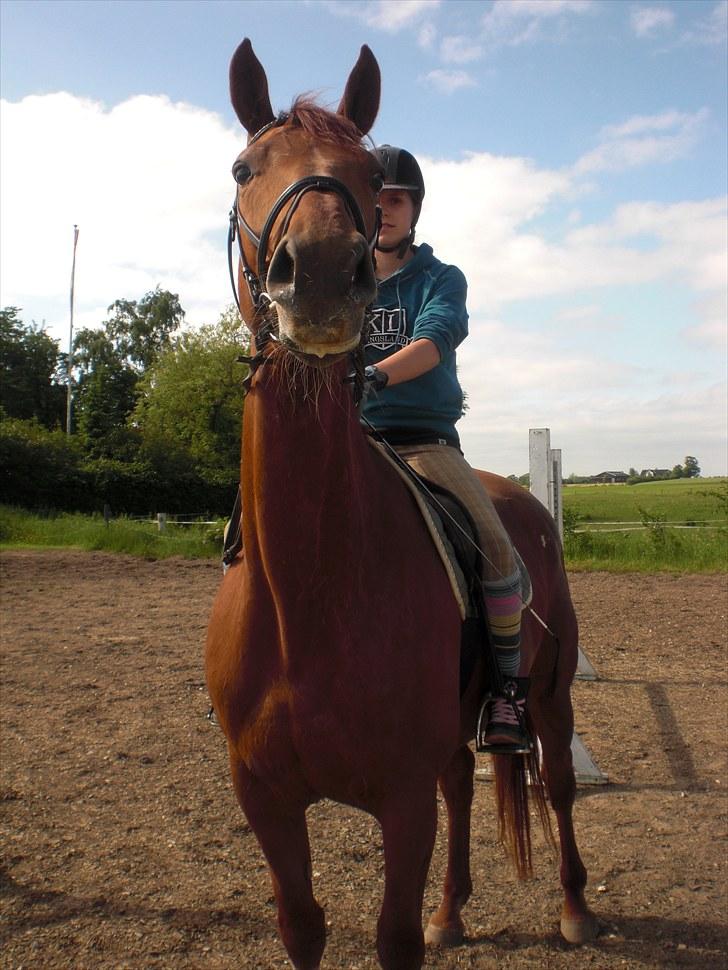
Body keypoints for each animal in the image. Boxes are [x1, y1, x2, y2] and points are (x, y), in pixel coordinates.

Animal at [206, 36, 596, 968]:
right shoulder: (265, 799)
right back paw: (452, 908)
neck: (307, 592)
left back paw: (573, 907)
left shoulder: (401, 800)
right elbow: (302, 927)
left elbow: (393, 939)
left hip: (551, 695)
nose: (319, 273)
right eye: (244, 166)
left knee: (559, 786)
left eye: (362, 170)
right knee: (464, 784)